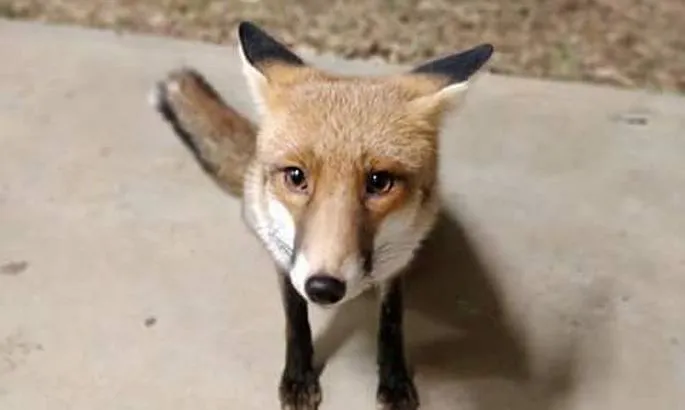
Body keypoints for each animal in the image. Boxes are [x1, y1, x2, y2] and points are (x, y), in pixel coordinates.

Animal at [150, 21, 493, 410]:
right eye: (296, 176)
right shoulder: (287, 259)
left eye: (380, 182)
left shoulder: (396, 265)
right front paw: (299, 377)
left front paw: (393, 380)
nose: (324, 288)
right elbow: (295, 320)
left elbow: (391, 323)